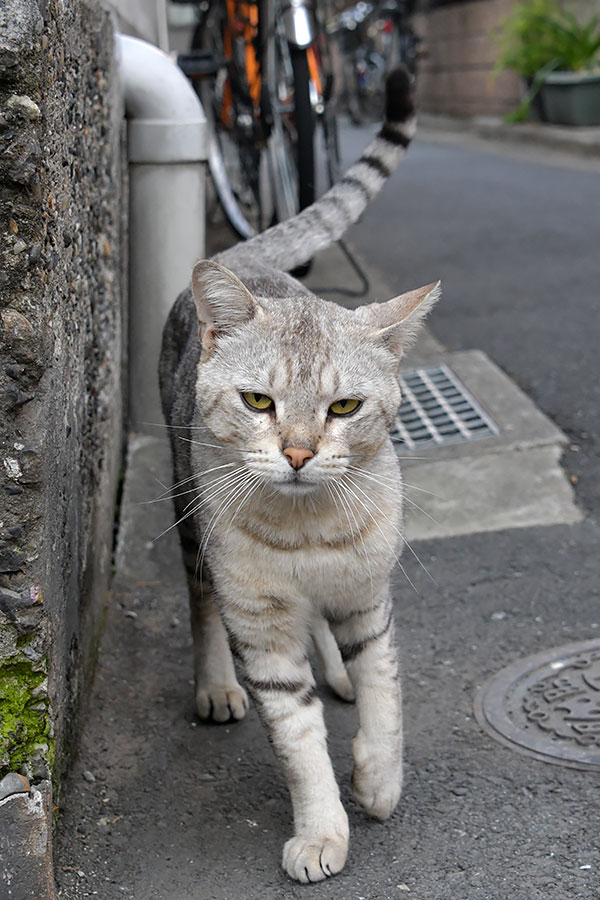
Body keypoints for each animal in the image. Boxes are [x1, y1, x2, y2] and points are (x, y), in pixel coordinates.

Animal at [159, 68, 440, 880]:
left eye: (344, 406)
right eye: (259, 401)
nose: (297, 453)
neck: (307, 532)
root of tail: (244, 252)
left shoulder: (369, 596)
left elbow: (385, 691)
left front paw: (379, 779)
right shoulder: (262, 630)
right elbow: (299, 744)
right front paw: (322, 833)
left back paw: (336, 671)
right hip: (189, 523)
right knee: (201, 607)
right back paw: (216, 686)